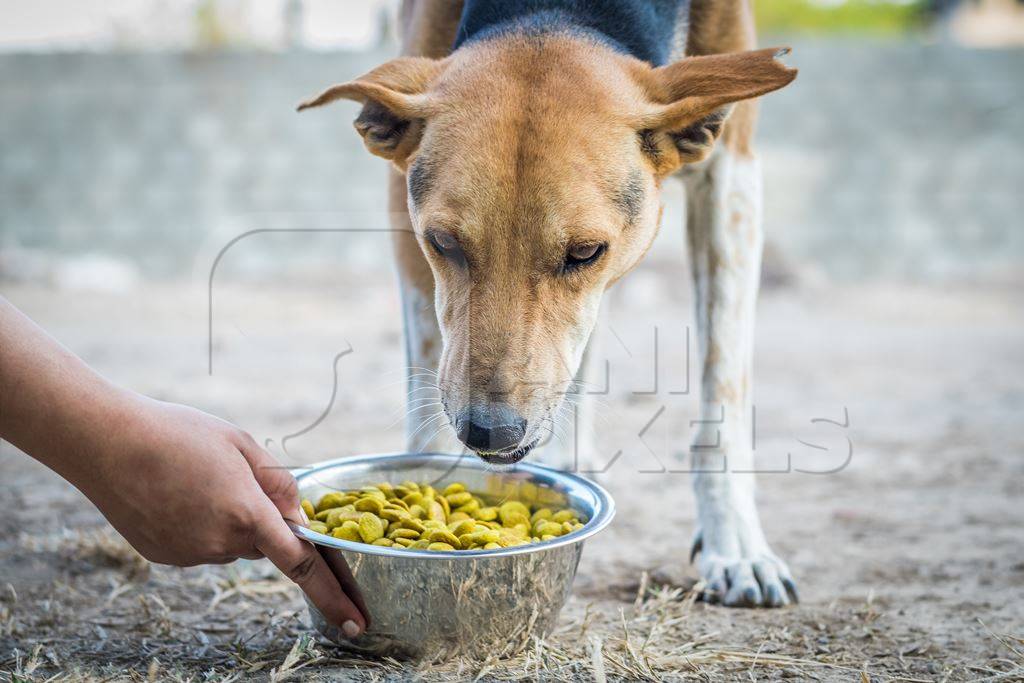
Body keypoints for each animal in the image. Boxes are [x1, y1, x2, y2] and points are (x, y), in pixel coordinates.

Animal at [299, 0, 794, 610]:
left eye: (585, 252)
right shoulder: (403, 208)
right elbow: (425, 367)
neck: (555, 13)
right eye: (443, 242)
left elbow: (723, 385)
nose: (490, 433)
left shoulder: (731, 175)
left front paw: (736, 544)